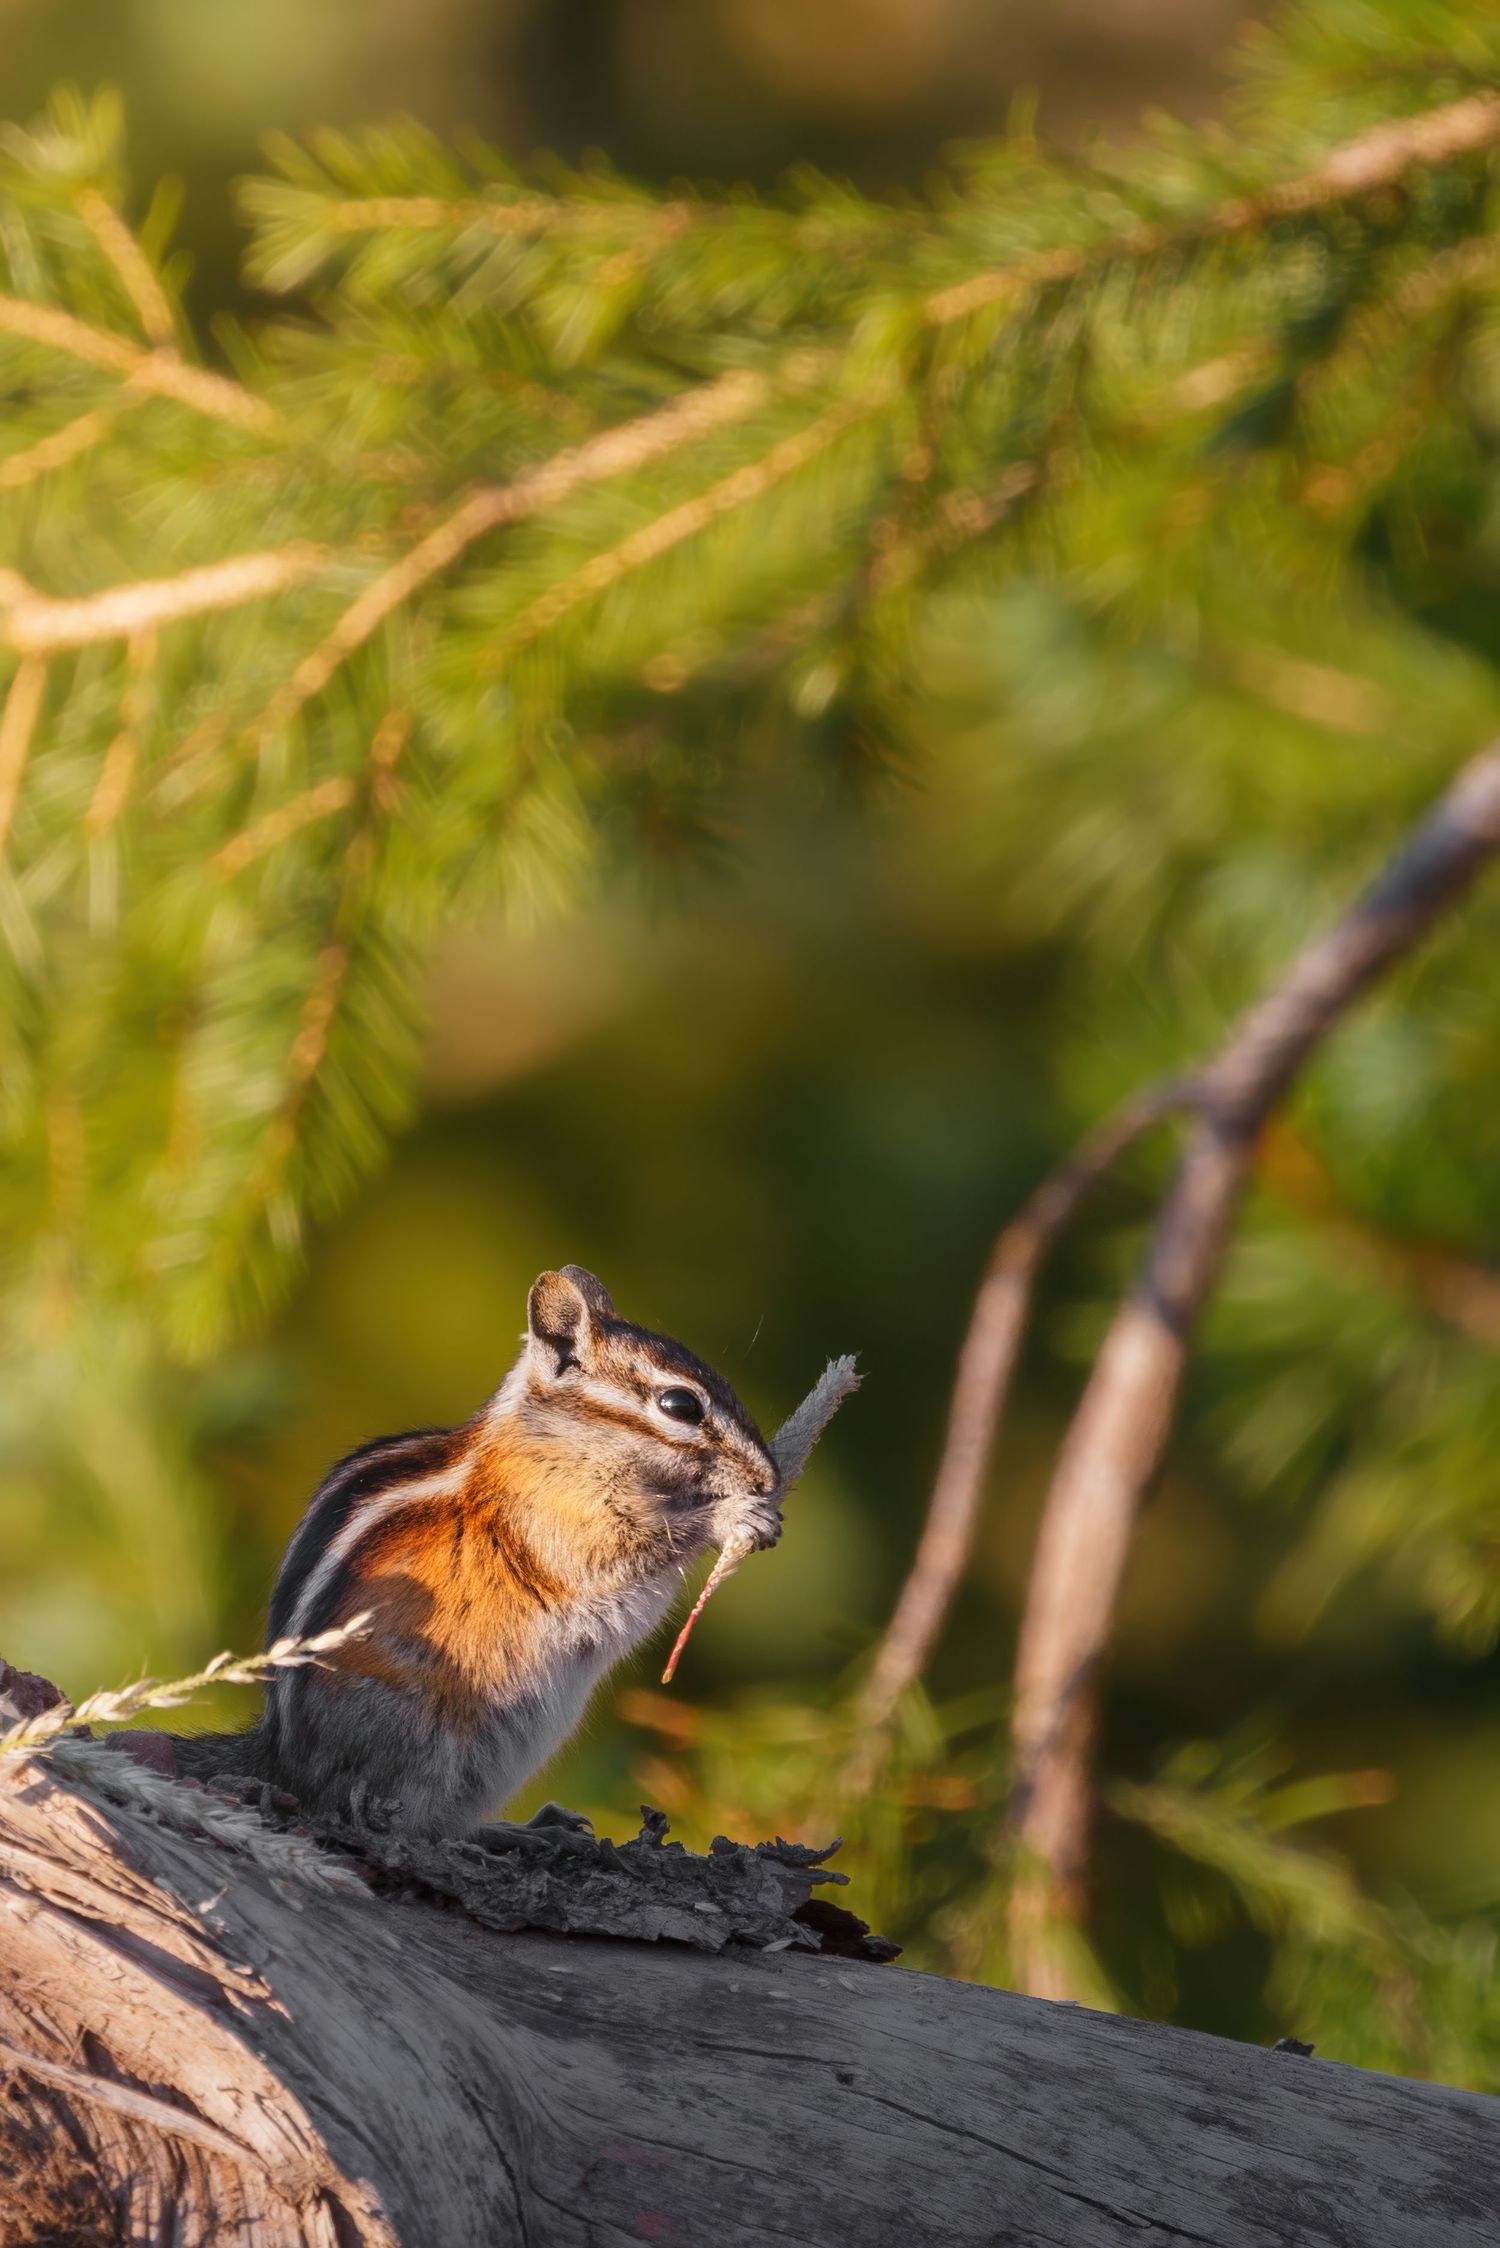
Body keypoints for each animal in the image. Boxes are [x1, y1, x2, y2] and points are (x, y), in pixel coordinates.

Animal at [170, 1266, 781, 1843]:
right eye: (680, 1404)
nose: (768, 1476)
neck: (562, 1441)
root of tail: (280, 1762)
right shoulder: (558, 1519)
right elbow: (632, 1549)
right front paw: (733, 1516)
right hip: (424, 1737)